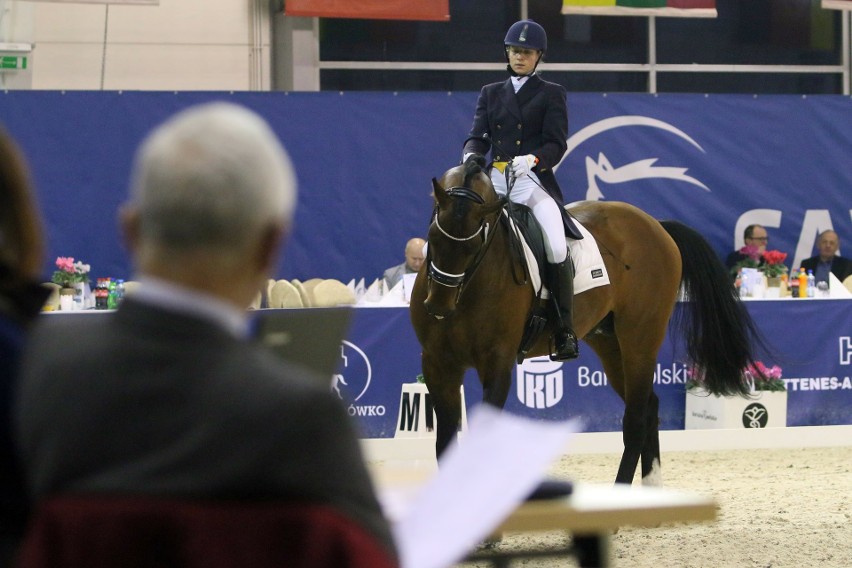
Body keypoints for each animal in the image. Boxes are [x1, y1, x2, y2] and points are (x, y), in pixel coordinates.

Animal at [410, 160, 764, 484]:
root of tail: (657, 225)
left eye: (476, 242)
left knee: (636, 416)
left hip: (640, 339)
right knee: (649, 405)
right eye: (433, 236)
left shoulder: (497, 364)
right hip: (608, 342)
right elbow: (445, 444)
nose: (438, 306)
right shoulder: (437, 364)